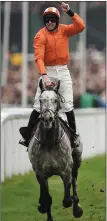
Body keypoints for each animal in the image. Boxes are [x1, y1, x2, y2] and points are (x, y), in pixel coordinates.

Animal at [27, 78, 83, 220]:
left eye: (56, 100)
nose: (47, 118)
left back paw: (77, 208)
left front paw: (74, 206)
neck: (49, 142)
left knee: (75, 180)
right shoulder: (40, 173)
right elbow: (47, 199)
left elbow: (67, 200)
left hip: (77, 161)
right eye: (41, 100)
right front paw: (42, 205)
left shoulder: (66, 170)